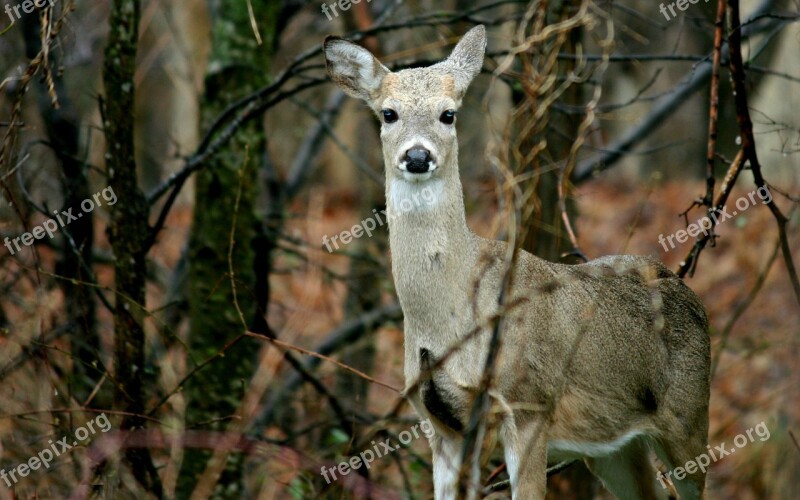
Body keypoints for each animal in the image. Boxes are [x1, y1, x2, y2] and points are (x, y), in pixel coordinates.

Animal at [322, 26, 708, 500]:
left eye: (448, 114)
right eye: (388, 114)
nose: (417, 156)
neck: (450, 317)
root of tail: (685, 288)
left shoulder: (528, 403)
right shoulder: (439, 424)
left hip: (688, 419)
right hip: (613, 446)